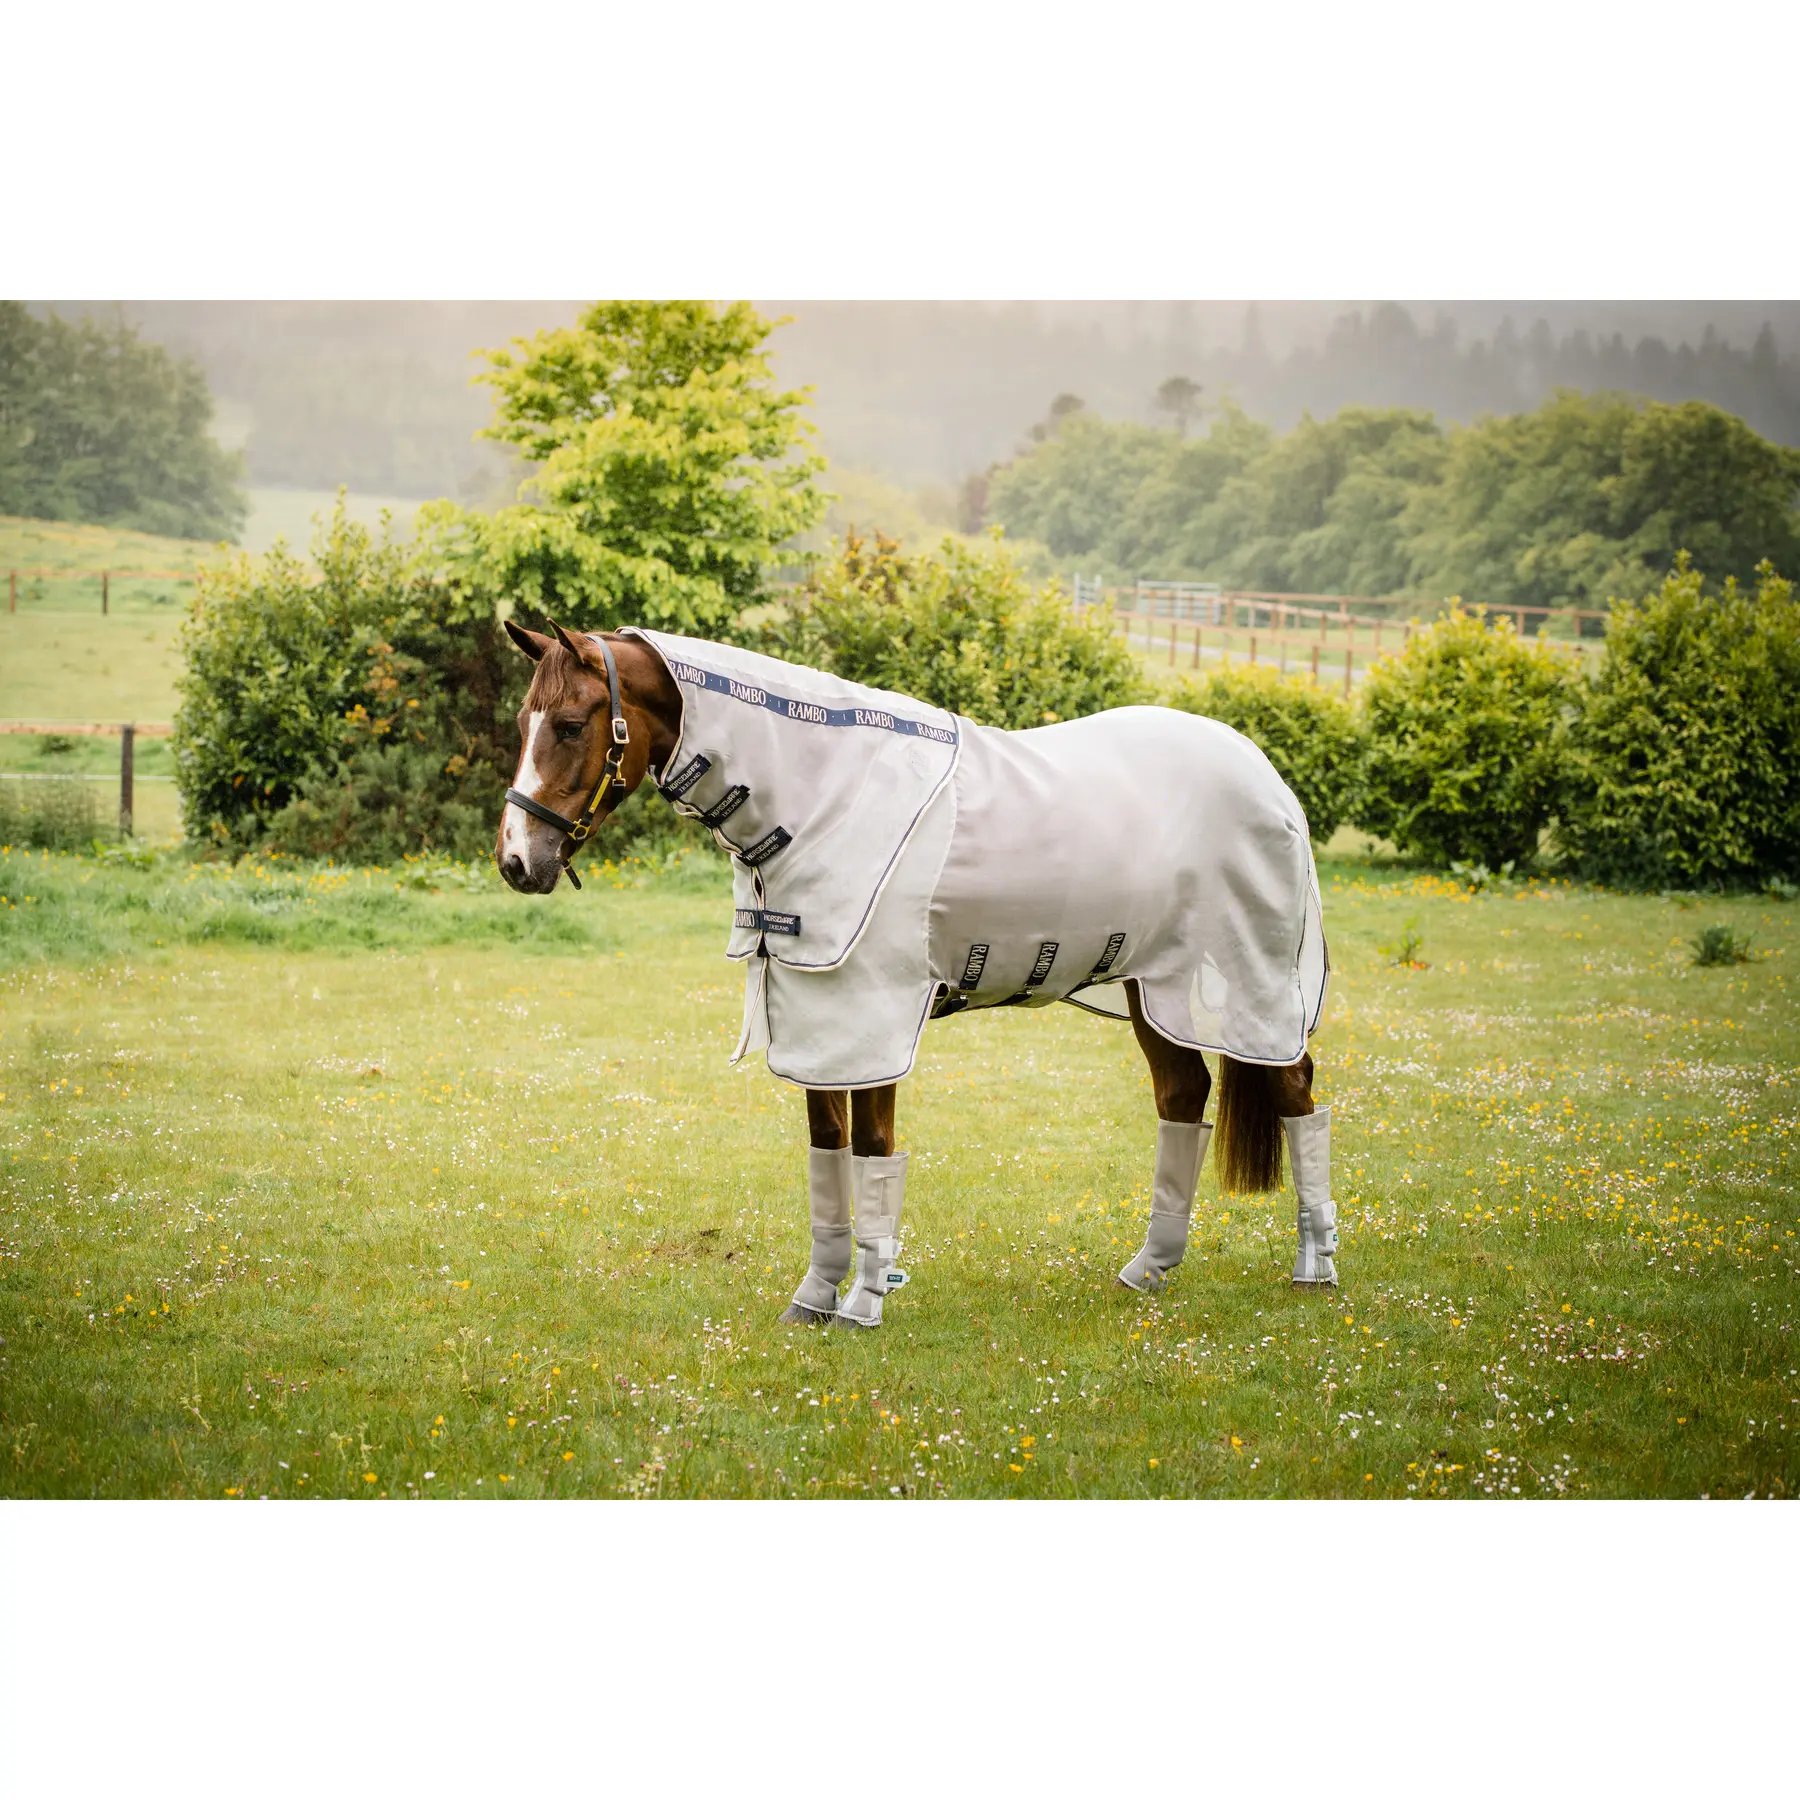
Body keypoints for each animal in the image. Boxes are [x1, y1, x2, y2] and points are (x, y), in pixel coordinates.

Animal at [496, 619, 1338, 1328]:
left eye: (570, 725)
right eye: (523, 724)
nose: (516, 861)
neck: (824, 796)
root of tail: (1265, 776)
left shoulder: (875, 1018)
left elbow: (873, 1150)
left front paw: (864, 1304)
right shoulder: (819, 1021)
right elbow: (827, 1149)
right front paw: (815, 1298)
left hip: (1255, 977)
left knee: (1296, 1091)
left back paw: (1314, 1269)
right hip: (1151, 987)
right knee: (1184, 1096)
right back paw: (1149, 1269)